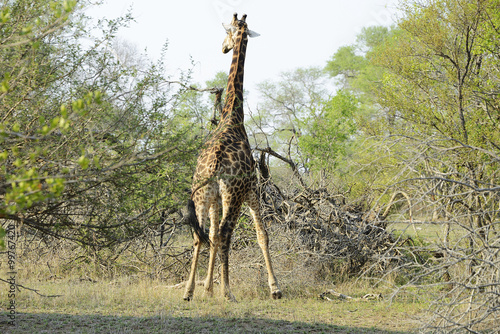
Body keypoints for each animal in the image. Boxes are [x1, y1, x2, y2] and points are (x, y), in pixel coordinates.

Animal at [183, 13, 282, 302]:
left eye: (227, 33)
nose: (223, 47)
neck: (233, 115)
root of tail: (215, 163)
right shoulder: (252, 190)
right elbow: (262, 234)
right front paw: (275, 288)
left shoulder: (216, 198)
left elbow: (212, 236)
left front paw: (207, 287)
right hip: (234, 195)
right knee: (227, 232)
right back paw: (228, 292)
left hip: (203, 195)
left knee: (200, 234)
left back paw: (189, 291)